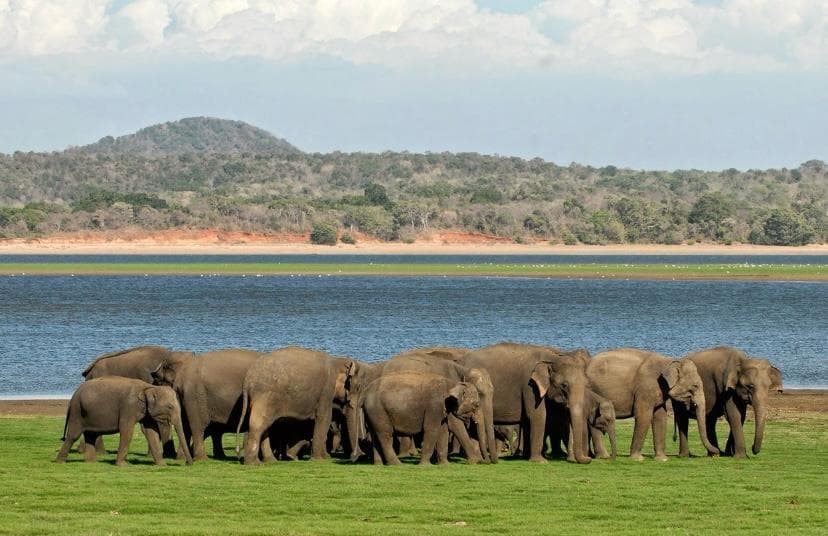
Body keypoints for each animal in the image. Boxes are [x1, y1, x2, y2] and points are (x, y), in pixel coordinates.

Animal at [56, 377, 192, 466]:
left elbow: (151, 432)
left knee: (91, 435)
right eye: (170, 407)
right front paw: (122, 465)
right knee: (73, 436)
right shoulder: (129, 406)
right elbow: (127, 430)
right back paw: (60, 462)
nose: (188, 463)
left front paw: (161, 464)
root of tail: (73, 396)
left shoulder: (145, 412)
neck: (149, 387)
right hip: (77, 412)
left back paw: (91, 462)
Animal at [460, 342, 593, 463]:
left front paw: (526, 457)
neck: (552, 357)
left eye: (586, 384)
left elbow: (528, 419)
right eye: (564, 385)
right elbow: (537, 415)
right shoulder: (530, 386)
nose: (589, 459)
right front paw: (540, 461)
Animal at [586, 348, 719, 461]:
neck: (669, 361)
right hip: (593, 390)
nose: (716, 453)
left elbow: (660, 417)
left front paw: (662, 459)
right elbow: (644, 416)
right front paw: (637, 459)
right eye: (695, 386)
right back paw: (603, 456)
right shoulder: (646, 388)